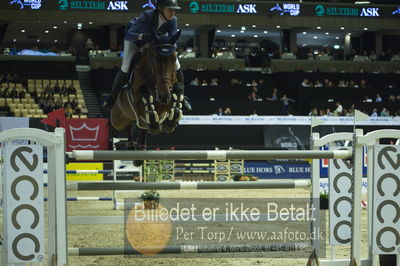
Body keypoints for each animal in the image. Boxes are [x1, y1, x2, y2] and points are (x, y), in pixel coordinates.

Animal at [110, 30, 184, 164]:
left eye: (174, 58)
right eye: (154, 58)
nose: (164, 95)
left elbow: (178, 92)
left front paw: (170, 121)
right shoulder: (138, 105)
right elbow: (145, 97)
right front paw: (154, 120)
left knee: (140, 127)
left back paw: (141, 148)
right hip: (117, 120)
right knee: (129, 125)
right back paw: (131, 147)